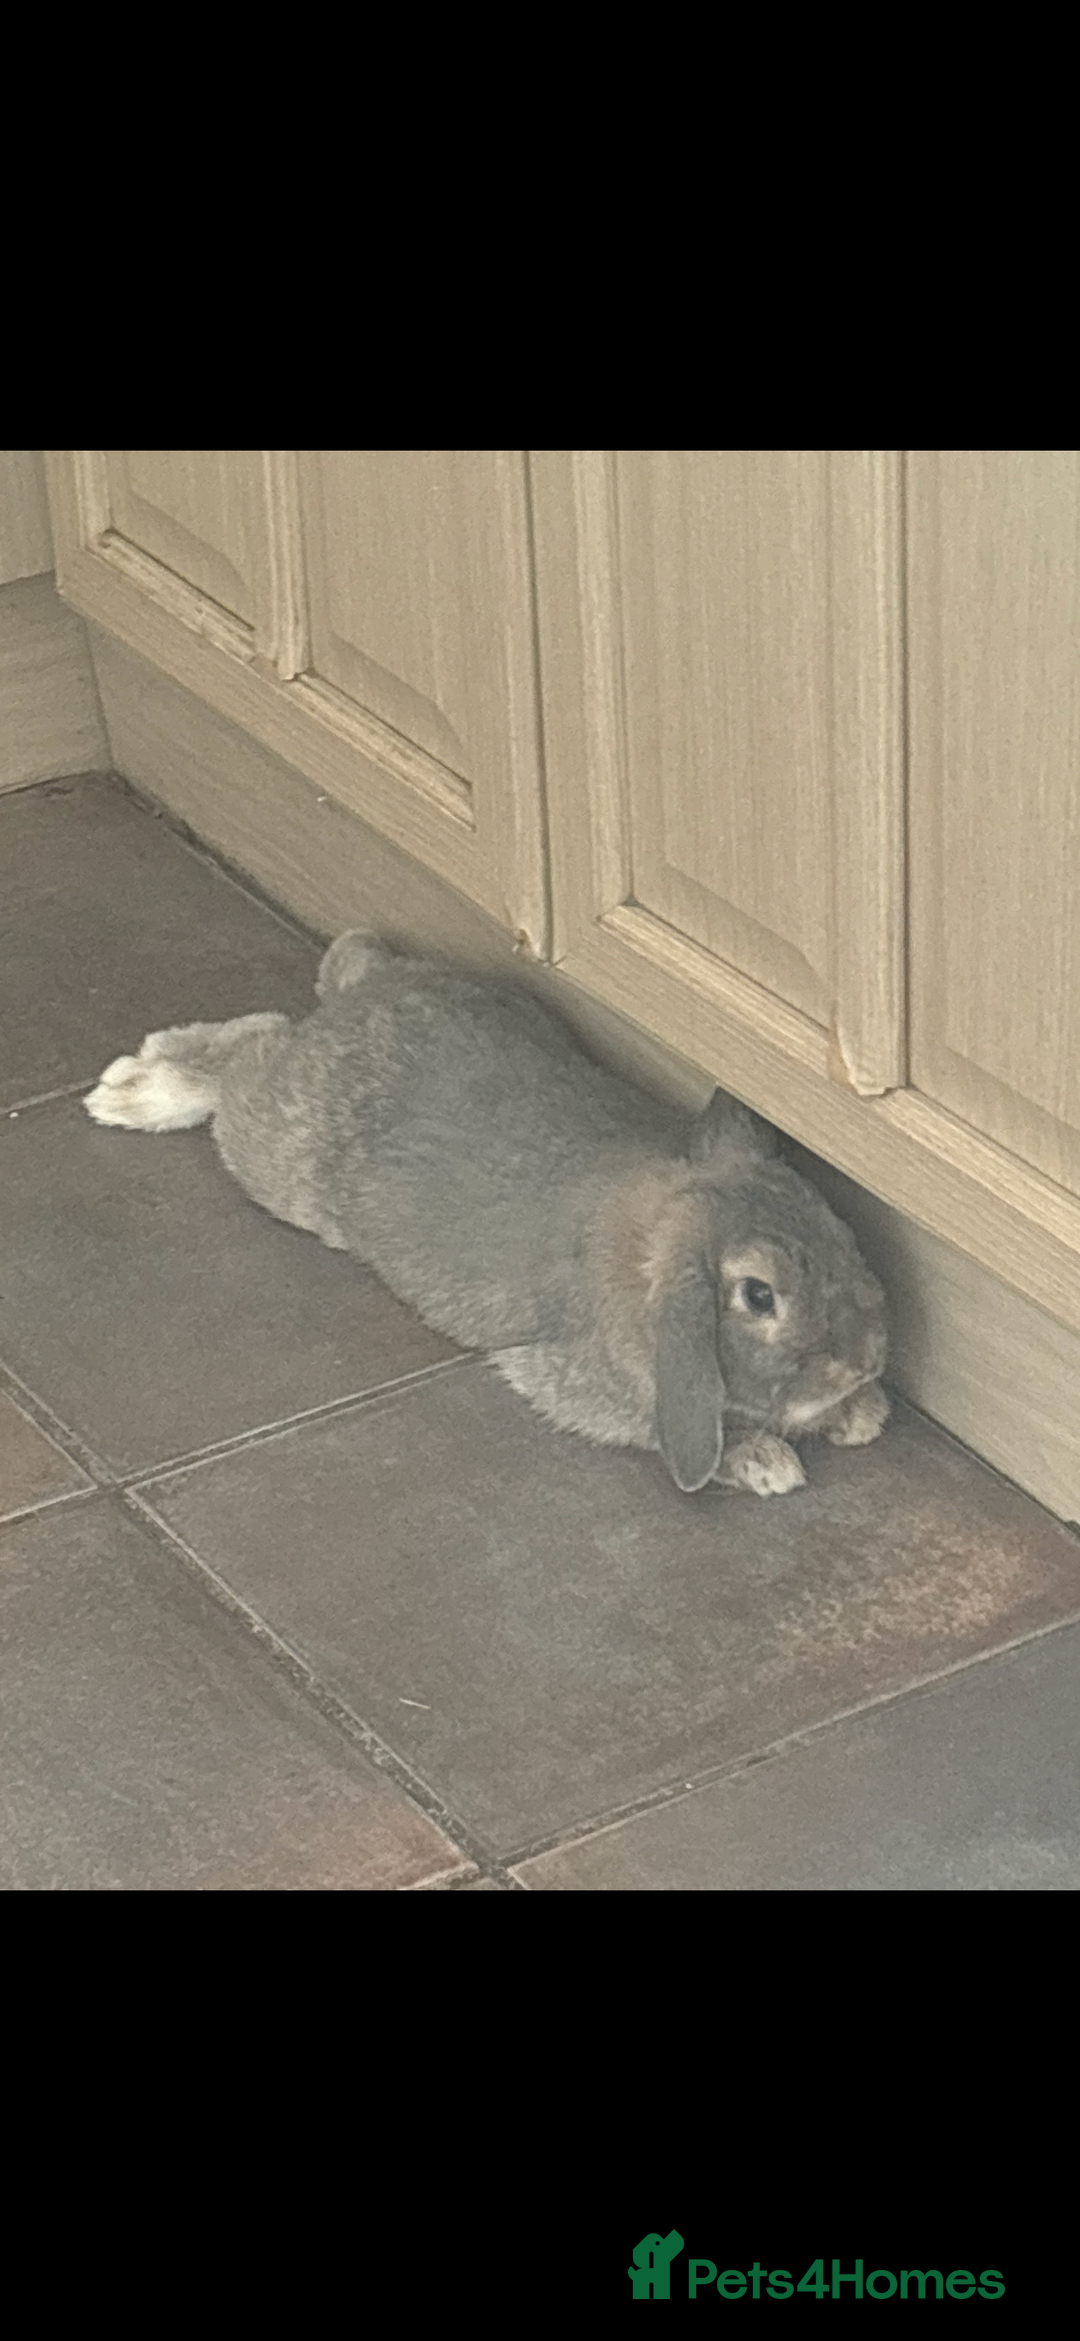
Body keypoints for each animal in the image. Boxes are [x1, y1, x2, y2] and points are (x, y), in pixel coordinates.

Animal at [84, 931, 889, 1496]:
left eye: (836, 1226)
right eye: (759, 1296)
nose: (869, 1359)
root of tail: (365, 991)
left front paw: (859, 1414)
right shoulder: (583, 1384)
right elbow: (666, 1433)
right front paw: (770, 1462)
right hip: (276, 1157)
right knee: (256, 1046)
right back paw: (138, 1090)